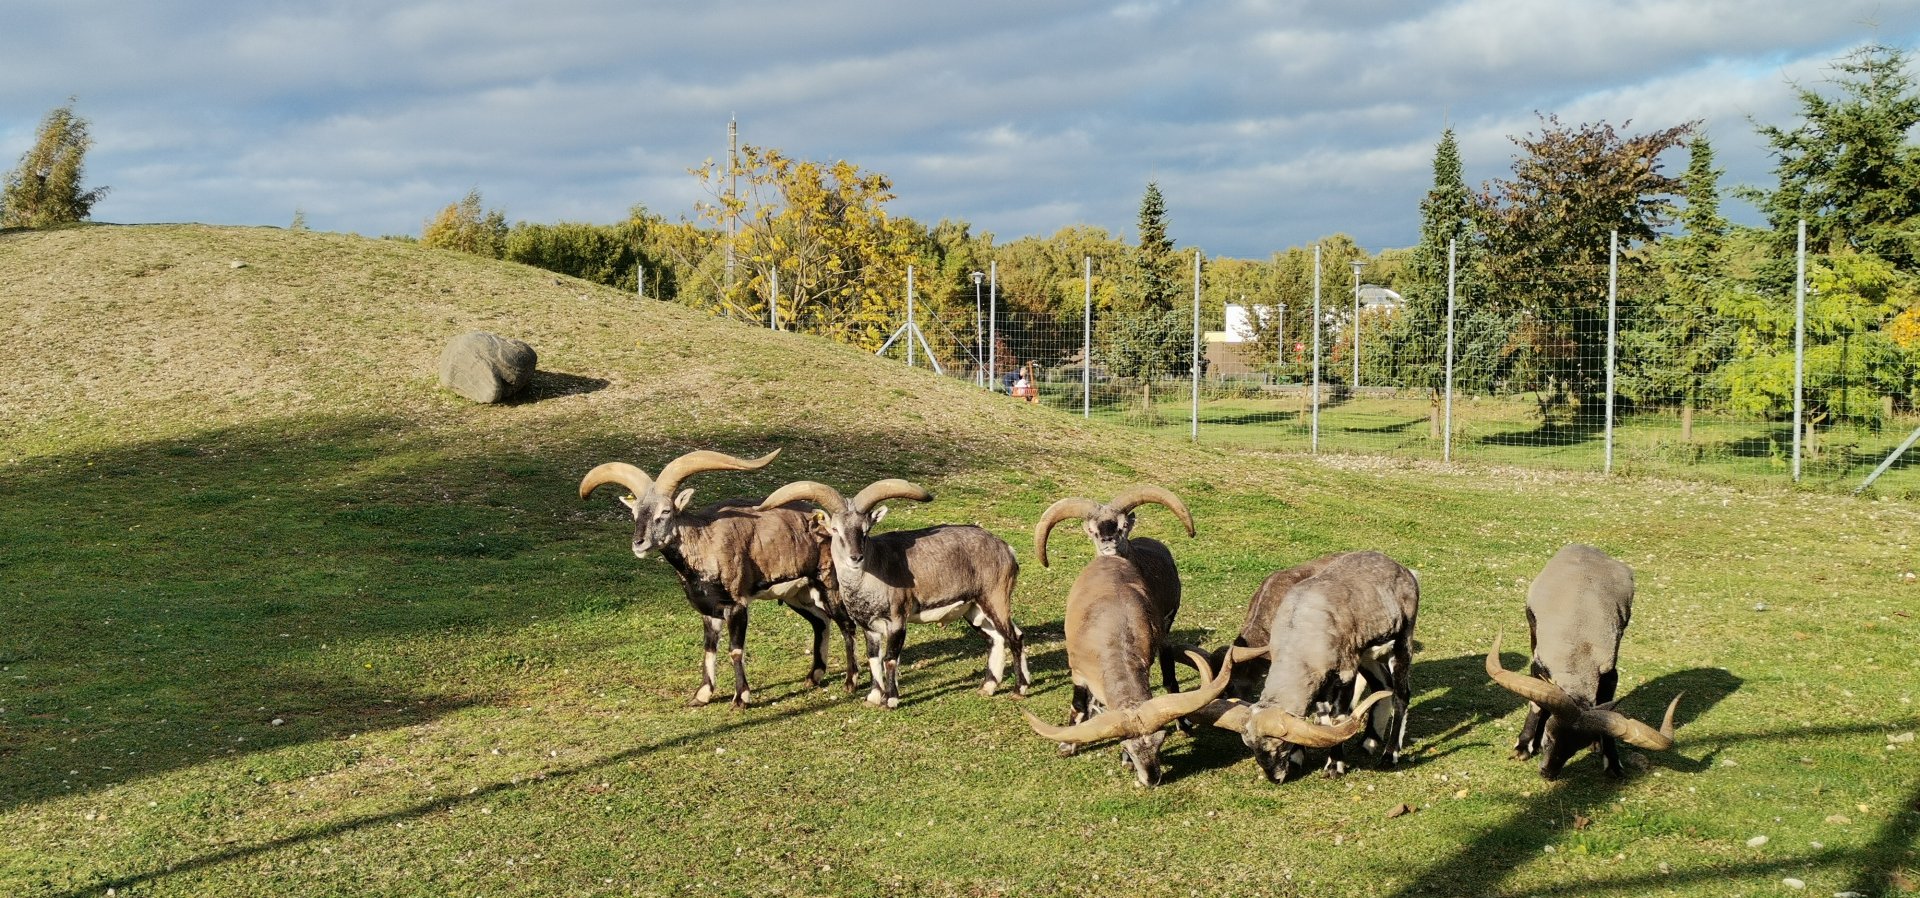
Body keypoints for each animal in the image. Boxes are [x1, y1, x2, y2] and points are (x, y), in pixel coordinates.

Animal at [578, 448, 852, 709]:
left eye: (665, 511)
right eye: (635, 512)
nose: (639, 543)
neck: (704, 542)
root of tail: (830, 526)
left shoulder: (736, 605)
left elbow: (735, 650)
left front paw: (741, 698)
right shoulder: (709, 610)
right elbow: (709, 648)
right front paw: (701, 695)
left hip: (829, 584)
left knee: (846, 624)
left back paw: (851, 681)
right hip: (798, 594)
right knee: (821, 621)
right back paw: (814, 676)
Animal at [754, 478, 1028, 708]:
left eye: (865, 530)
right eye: (835, 530)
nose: (855, 557)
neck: (873, 574)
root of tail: (1007, 549)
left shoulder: (897, 620)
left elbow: (890, 658)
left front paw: (891, 699)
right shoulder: (869, 626)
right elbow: (873, 657)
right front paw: (873, 697)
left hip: (994, 597)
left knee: (1014, 636)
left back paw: (1020, 689)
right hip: (974, 608)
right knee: (996, 638)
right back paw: (988, 686)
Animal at [1018, 551, 1235, 786]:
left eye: (1160, 742)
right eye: (1125, 746)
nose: (1152, 779)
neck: (1112, 639)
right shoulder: (1077, 673)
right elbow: (1078, 704)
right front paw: (1068, 746)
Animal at [1193, 551, 1417, 783]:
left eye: (1279, 744)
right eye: (1249, 746)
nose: (1275, 778)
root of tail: (1400, 568)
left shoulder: (1346, 671)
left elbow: (1338, 717)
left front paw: (1334, 765)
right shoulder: (1319, 679)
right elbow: (1321, 714)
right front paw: (1298, 757)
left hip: (1402, 641)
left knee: (1401, 695)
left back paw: (1390, 754)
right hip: (1367, 653)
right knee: (1383, 685)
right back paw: (1369, 741)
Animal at [1486, 543, 1680, 779]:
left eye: (1577, 747)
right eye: (1549, 737)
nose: (1548, 773)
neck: (1578, 646)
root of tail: (1585, 547)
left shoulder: (1609, 673)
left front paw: (1612, 762)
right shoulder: (1538, 664)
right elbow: (1537, 706)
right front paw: (1523, 747)